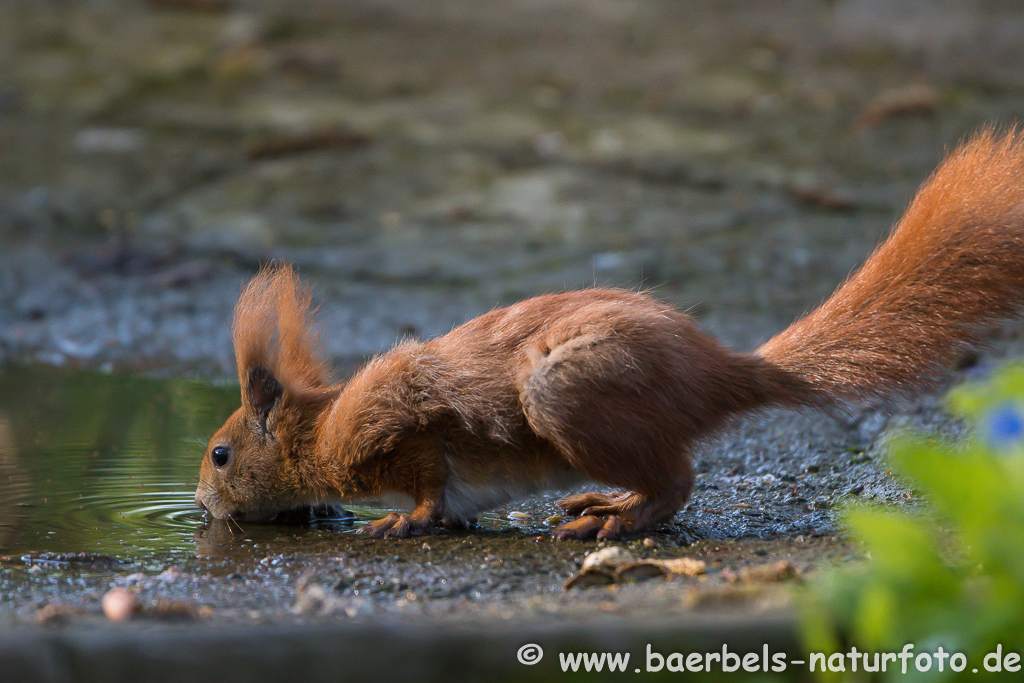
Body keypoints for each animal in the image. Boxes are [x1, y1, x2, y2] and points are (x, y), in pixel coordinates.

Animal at [195, 129, 1024, 540]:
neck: (321, 430)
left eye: (220, 453)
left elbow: (430, 480)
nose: (200, 506)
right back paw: (606, 501)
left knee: (679, 480)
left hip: (564, 391)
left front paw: (406, 519)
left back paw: (617, 520)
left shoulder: (396, 422)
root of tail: (723, 372)